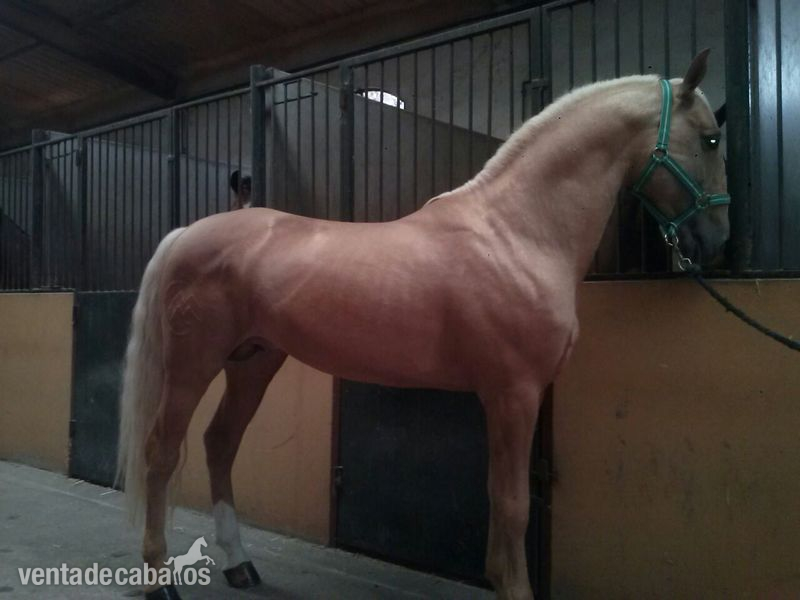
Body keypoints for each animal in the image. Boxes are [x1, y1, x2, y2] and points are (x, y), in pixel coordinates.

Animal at [116, 50, 729, 600]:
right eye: (710, 138)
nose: (716, 239)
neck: (516, 233)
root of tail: (185, 233)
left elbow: (500, 501)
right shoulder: (513, 394)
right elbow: (511, 505)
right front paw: (512, 586)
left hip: (253, 361)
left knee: (220, 442)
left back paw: (240, 564)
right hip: (192, 363)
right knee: (161, 453)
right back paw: (159, 579)